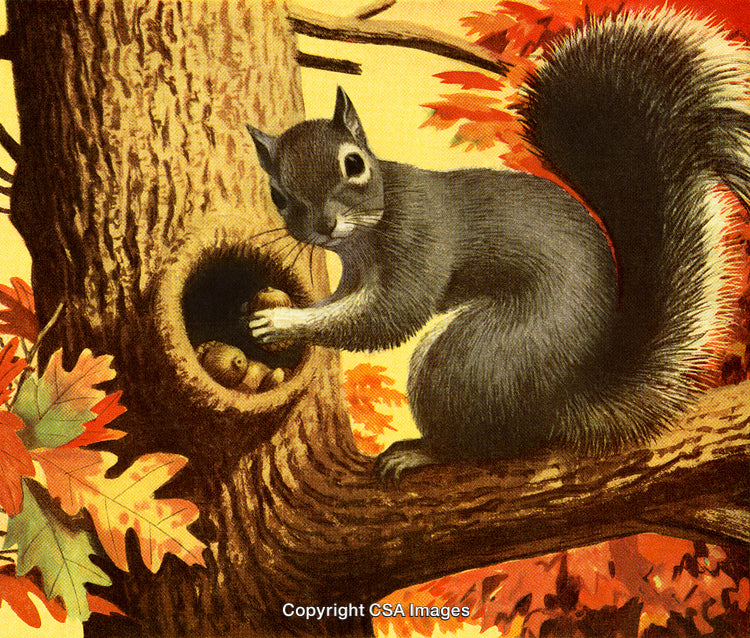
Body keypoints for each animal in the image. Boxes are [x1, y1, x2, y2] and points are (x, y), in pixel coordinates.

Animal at [247, 8, 750, 483]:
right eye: (278, 194)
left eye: (354, 164)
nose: (325, 225)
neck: (367, 231)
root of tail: (566, 401)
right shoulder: (353, 271)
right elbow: (346, 304)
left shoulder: (420, 237)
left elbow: (388, 315)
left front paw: (281, 321)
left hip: (476, 358)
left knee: (482, 444)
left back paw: (427, 451)